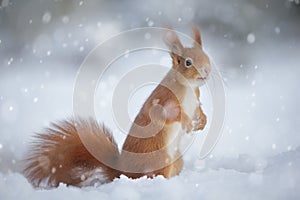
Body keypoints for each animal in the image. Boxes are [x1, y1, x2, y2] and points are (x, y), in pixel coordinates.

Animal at [22, 25, 211, 188]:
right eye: (188, 62)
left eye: (207, 56)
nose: (207, 71)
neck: (189, 87)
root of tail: (122, 172)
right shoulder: (163, 100)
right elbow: (166, 115)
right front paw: (187, 122)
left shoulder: (196, 101)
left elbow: (199, 110)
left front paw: (202, 121)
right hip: (159, 159)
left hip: (176, 159)